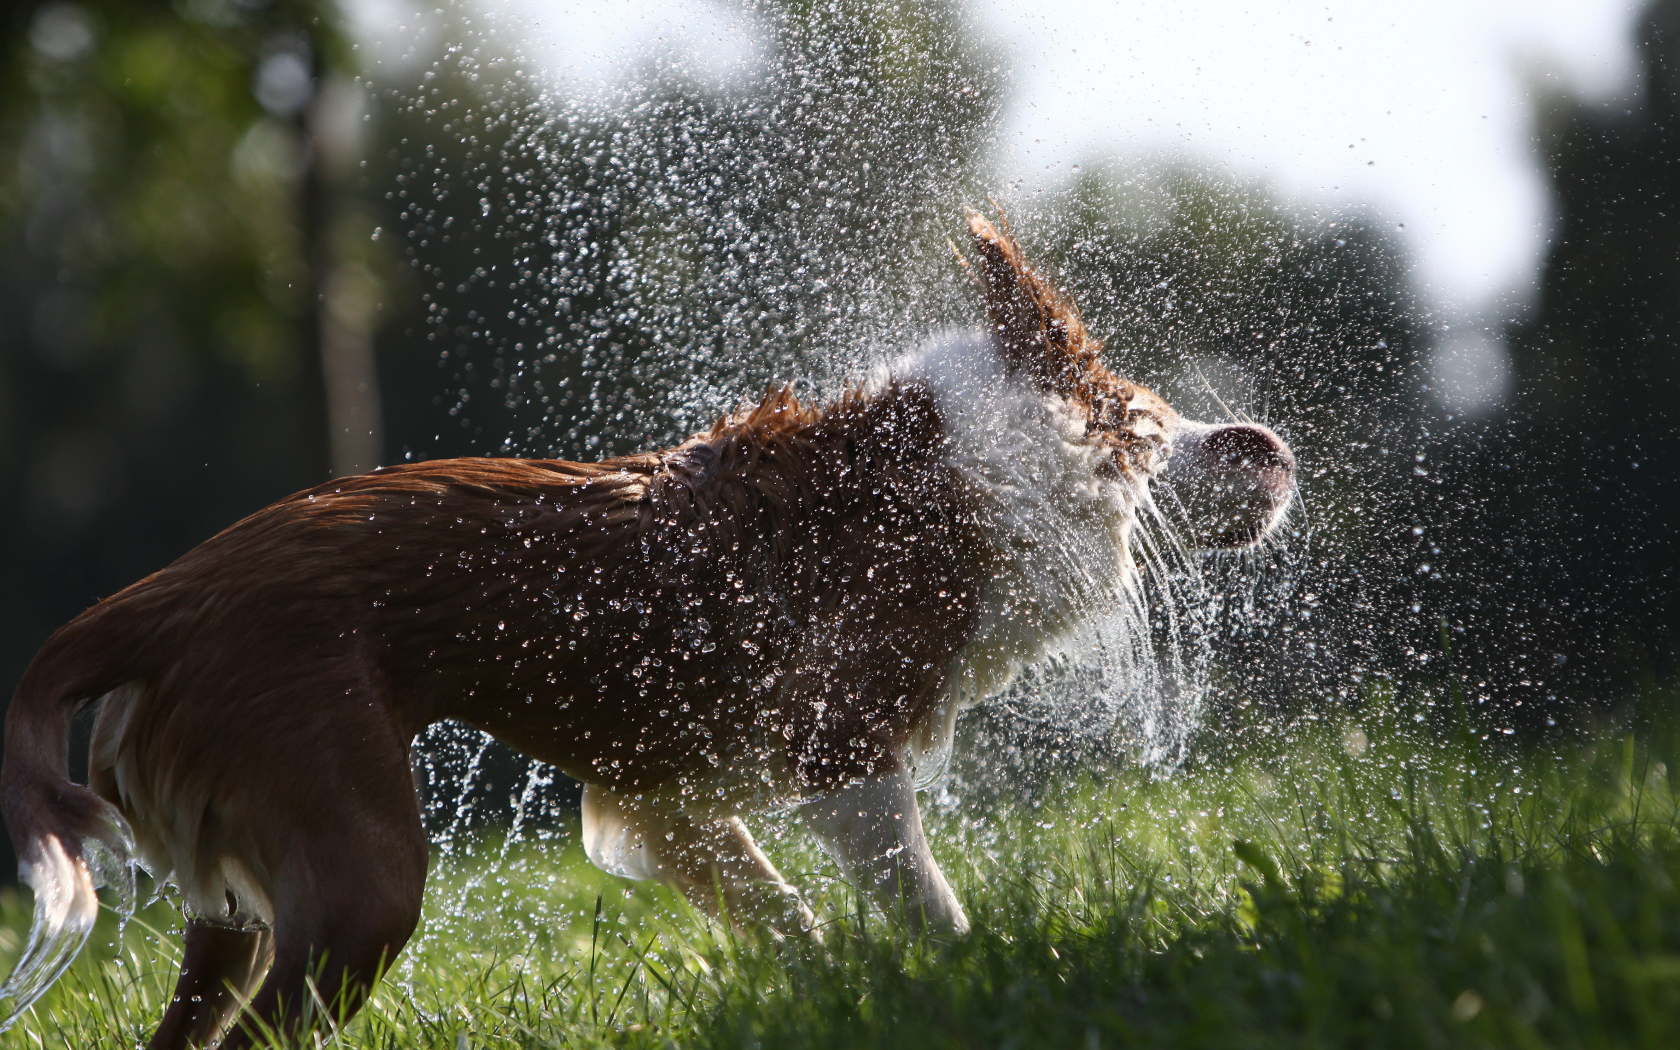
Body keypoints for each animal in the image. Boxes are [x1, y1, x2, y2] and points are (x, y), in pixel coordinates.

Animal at [0, 210, 1296, 1041]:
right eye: (1143, 414)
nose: (1269, 447)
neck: (956, 476)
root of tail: (157, 597)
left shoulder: (665, 802)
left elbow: (794, 925)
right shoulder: (842, 749)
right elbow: (929, 909)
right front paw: (975, 984)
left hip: (230, 902)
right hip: (362, 869)